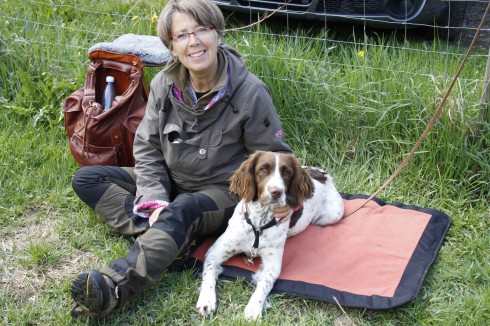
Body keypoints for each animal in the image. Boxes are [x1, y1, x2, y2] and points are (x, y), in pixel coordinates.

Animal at [195, 150, 344, 320]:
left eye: (286, 172)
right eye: (263, 169)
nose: (276, 192)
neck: (259, 224)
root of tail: (322, 173)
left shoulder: (272, 265)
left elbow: (264, 284)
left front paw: (254, 308)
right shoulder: (215, 252)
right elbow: (209, 274)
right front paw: (206, 300)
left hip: (332, 215)